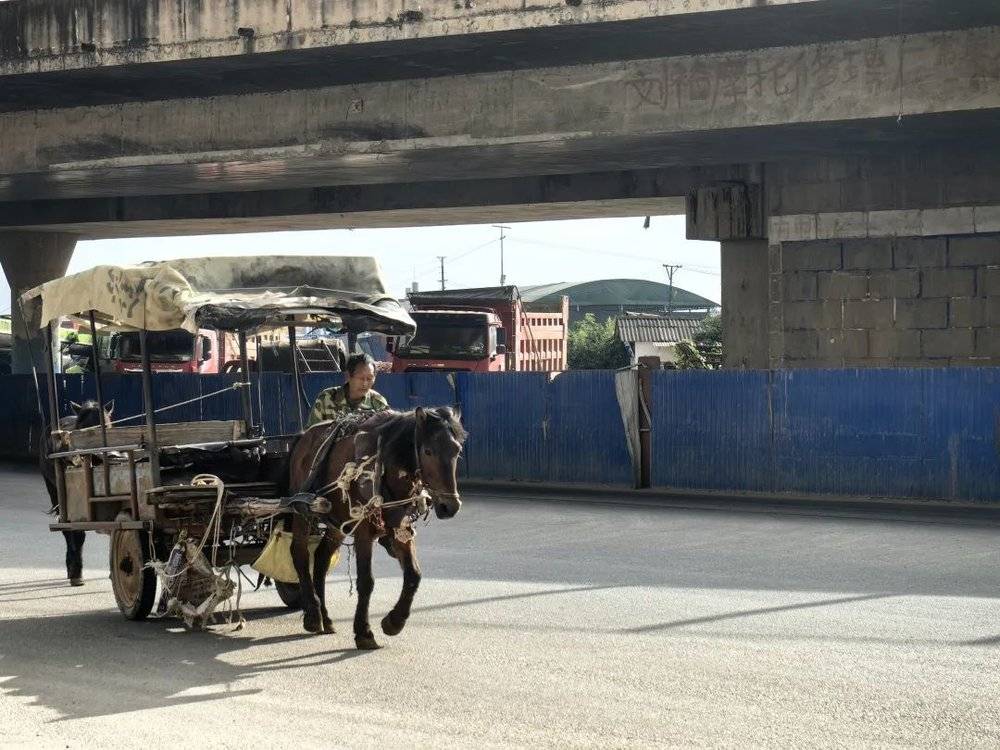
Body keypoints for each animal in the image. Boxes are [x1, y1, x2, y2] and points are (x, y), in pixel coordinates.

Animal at [38, 400, 113, 588]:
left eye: (107, 425)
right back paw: (71, 566)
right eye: (82, 428)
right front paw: (76, 573)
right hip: (53, 489)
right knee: (67, 531)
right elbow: (77, 533)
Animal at [286, 408, 464, 648]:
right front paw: (364, 632)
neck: (385, 466)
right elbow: (366, 581)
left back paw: (325, 617)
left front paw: (394, 622)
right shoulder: (363, 532)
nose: (450, 506)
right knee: (300, 554)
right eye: (427, 451)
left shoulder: (401, 528)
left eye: (457, 450)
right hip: (301, 511)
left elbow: (414, 575)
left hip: (336, 522)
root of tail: (305, 435)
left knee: (322, 559)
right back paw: (313, 615)